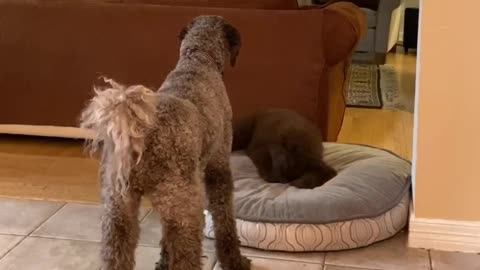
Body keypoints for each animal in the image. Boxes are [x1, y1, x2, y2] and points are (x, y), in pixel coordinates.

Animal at [80, 16, 249, 270]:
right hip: (185, 212)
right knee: (186, 258)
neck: (198, 58)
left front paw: (162, 262)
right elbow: (225, 219)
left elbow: (165, 240)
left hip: (118, 214)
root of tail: (143, 136)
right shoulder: (218, 168)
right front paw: (234, 260)